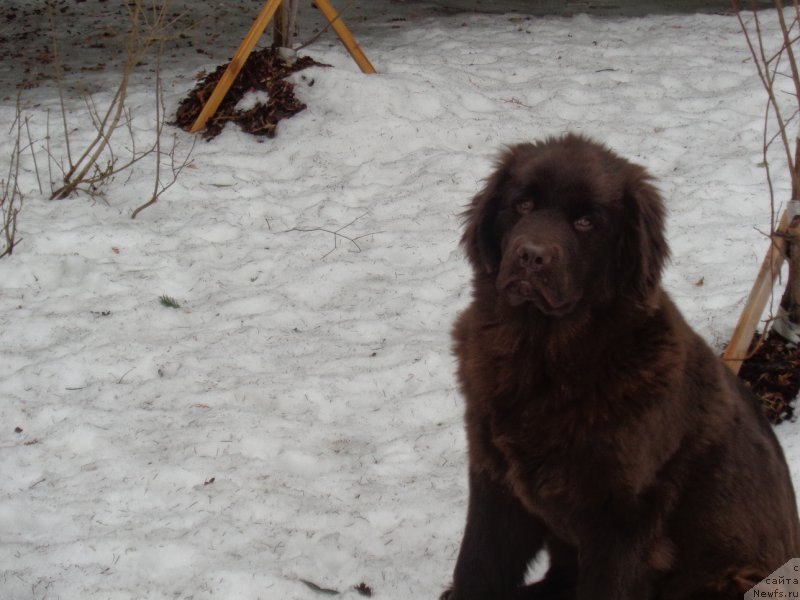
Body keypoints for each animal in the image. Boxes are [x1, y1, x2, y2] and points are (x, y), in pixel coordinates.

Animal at [444, 136, 800, 600]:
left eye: (586, 222)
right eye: (522, 204)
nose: (531, 257)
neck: (541, 353)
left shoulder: (625, 519)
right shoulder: (495, 481)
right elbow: (476, 566)